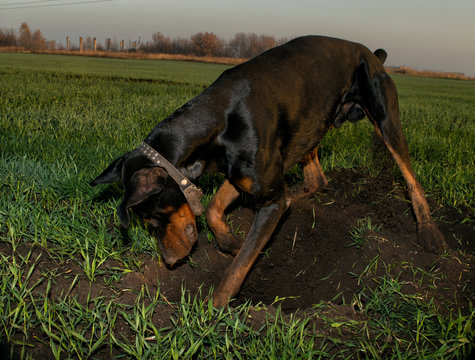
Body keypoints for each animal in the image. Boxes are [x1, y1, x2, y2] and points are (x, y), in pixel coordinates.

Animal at [91, 35, 448, 306]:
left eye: (153, 219)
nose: (168, 262)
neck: (218, 120)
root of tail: (372, 54)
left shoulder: (267, 192)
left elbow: (239, 266)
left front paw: (215, 307)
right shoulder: (243, 173)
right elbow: (214, 208)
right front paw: (231, 241)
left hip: (385, 117)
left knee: (410, 178)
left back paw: (430, 233)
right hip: (310, 125)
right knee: (316, 178)